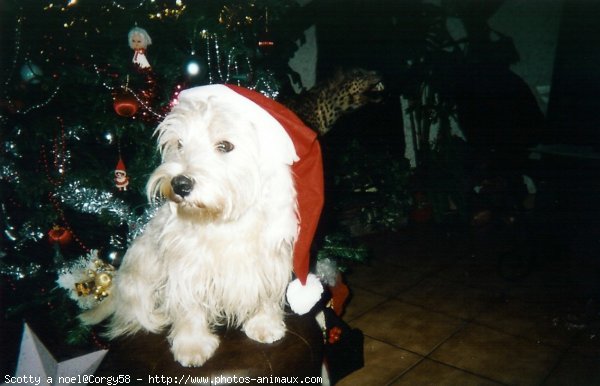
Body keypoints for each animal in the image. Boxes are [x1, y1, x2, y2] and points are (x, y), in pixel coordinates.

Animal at [81, 85, 324, 368]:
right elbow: (189, 309)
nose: (179, 184)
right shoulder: (186, 270)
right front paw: (192, 344)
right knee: (135, 314)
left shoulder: (269, 262)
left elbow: (265, 295)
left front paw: (265, 324)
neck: (223, 220)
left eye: (225, 146)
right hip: (137, 276)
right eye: (179, 144)